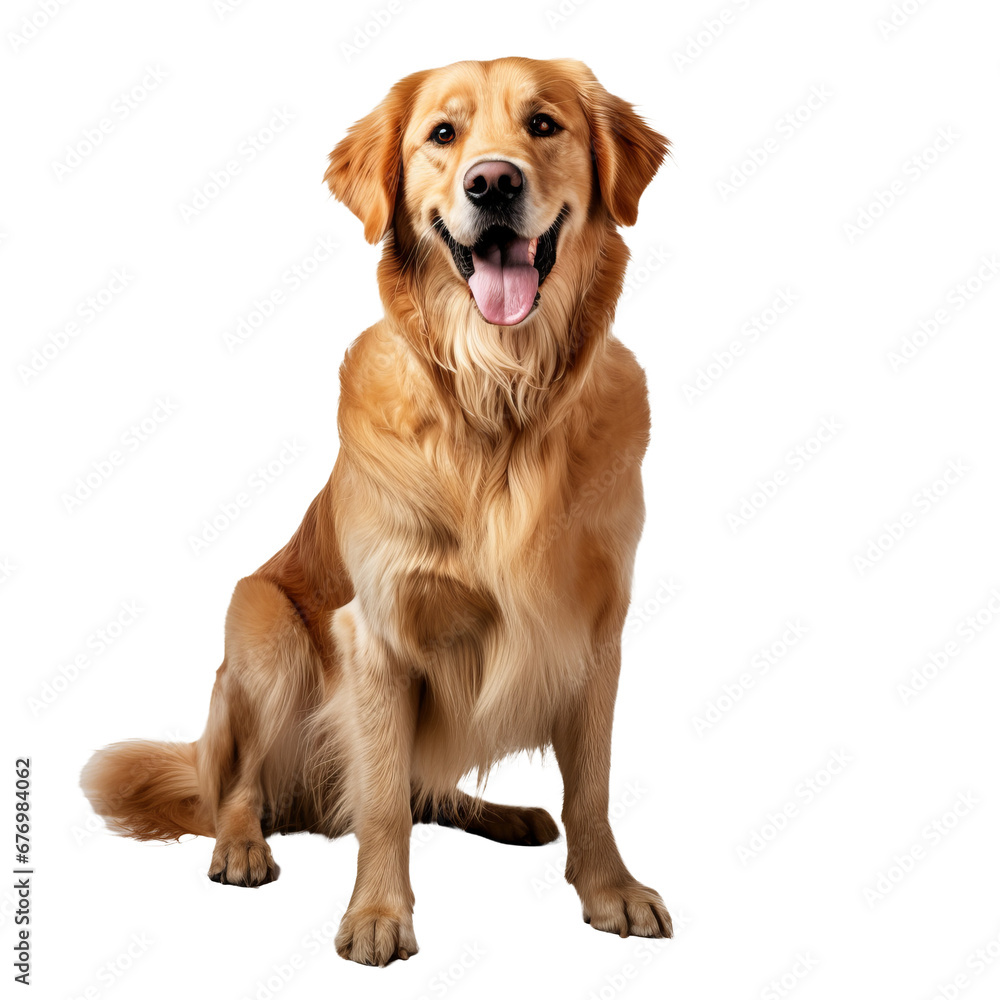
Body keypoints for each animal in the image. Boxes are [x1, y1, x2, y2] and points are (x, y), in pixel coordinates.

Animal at [80, 56, 672, 968]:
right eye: (442, 134)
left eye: (543, 125)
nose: (492, 182)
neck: (499, 402)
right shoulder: (377, 634)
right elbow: (385, 798)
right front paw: (377, 916)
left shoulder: (596, 631)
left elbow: (593, 789)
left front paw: (611, 891)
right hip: (264, 629)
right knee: (241, 788)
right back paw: (242, 848)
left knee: (435, 791)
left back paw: (505, 816)